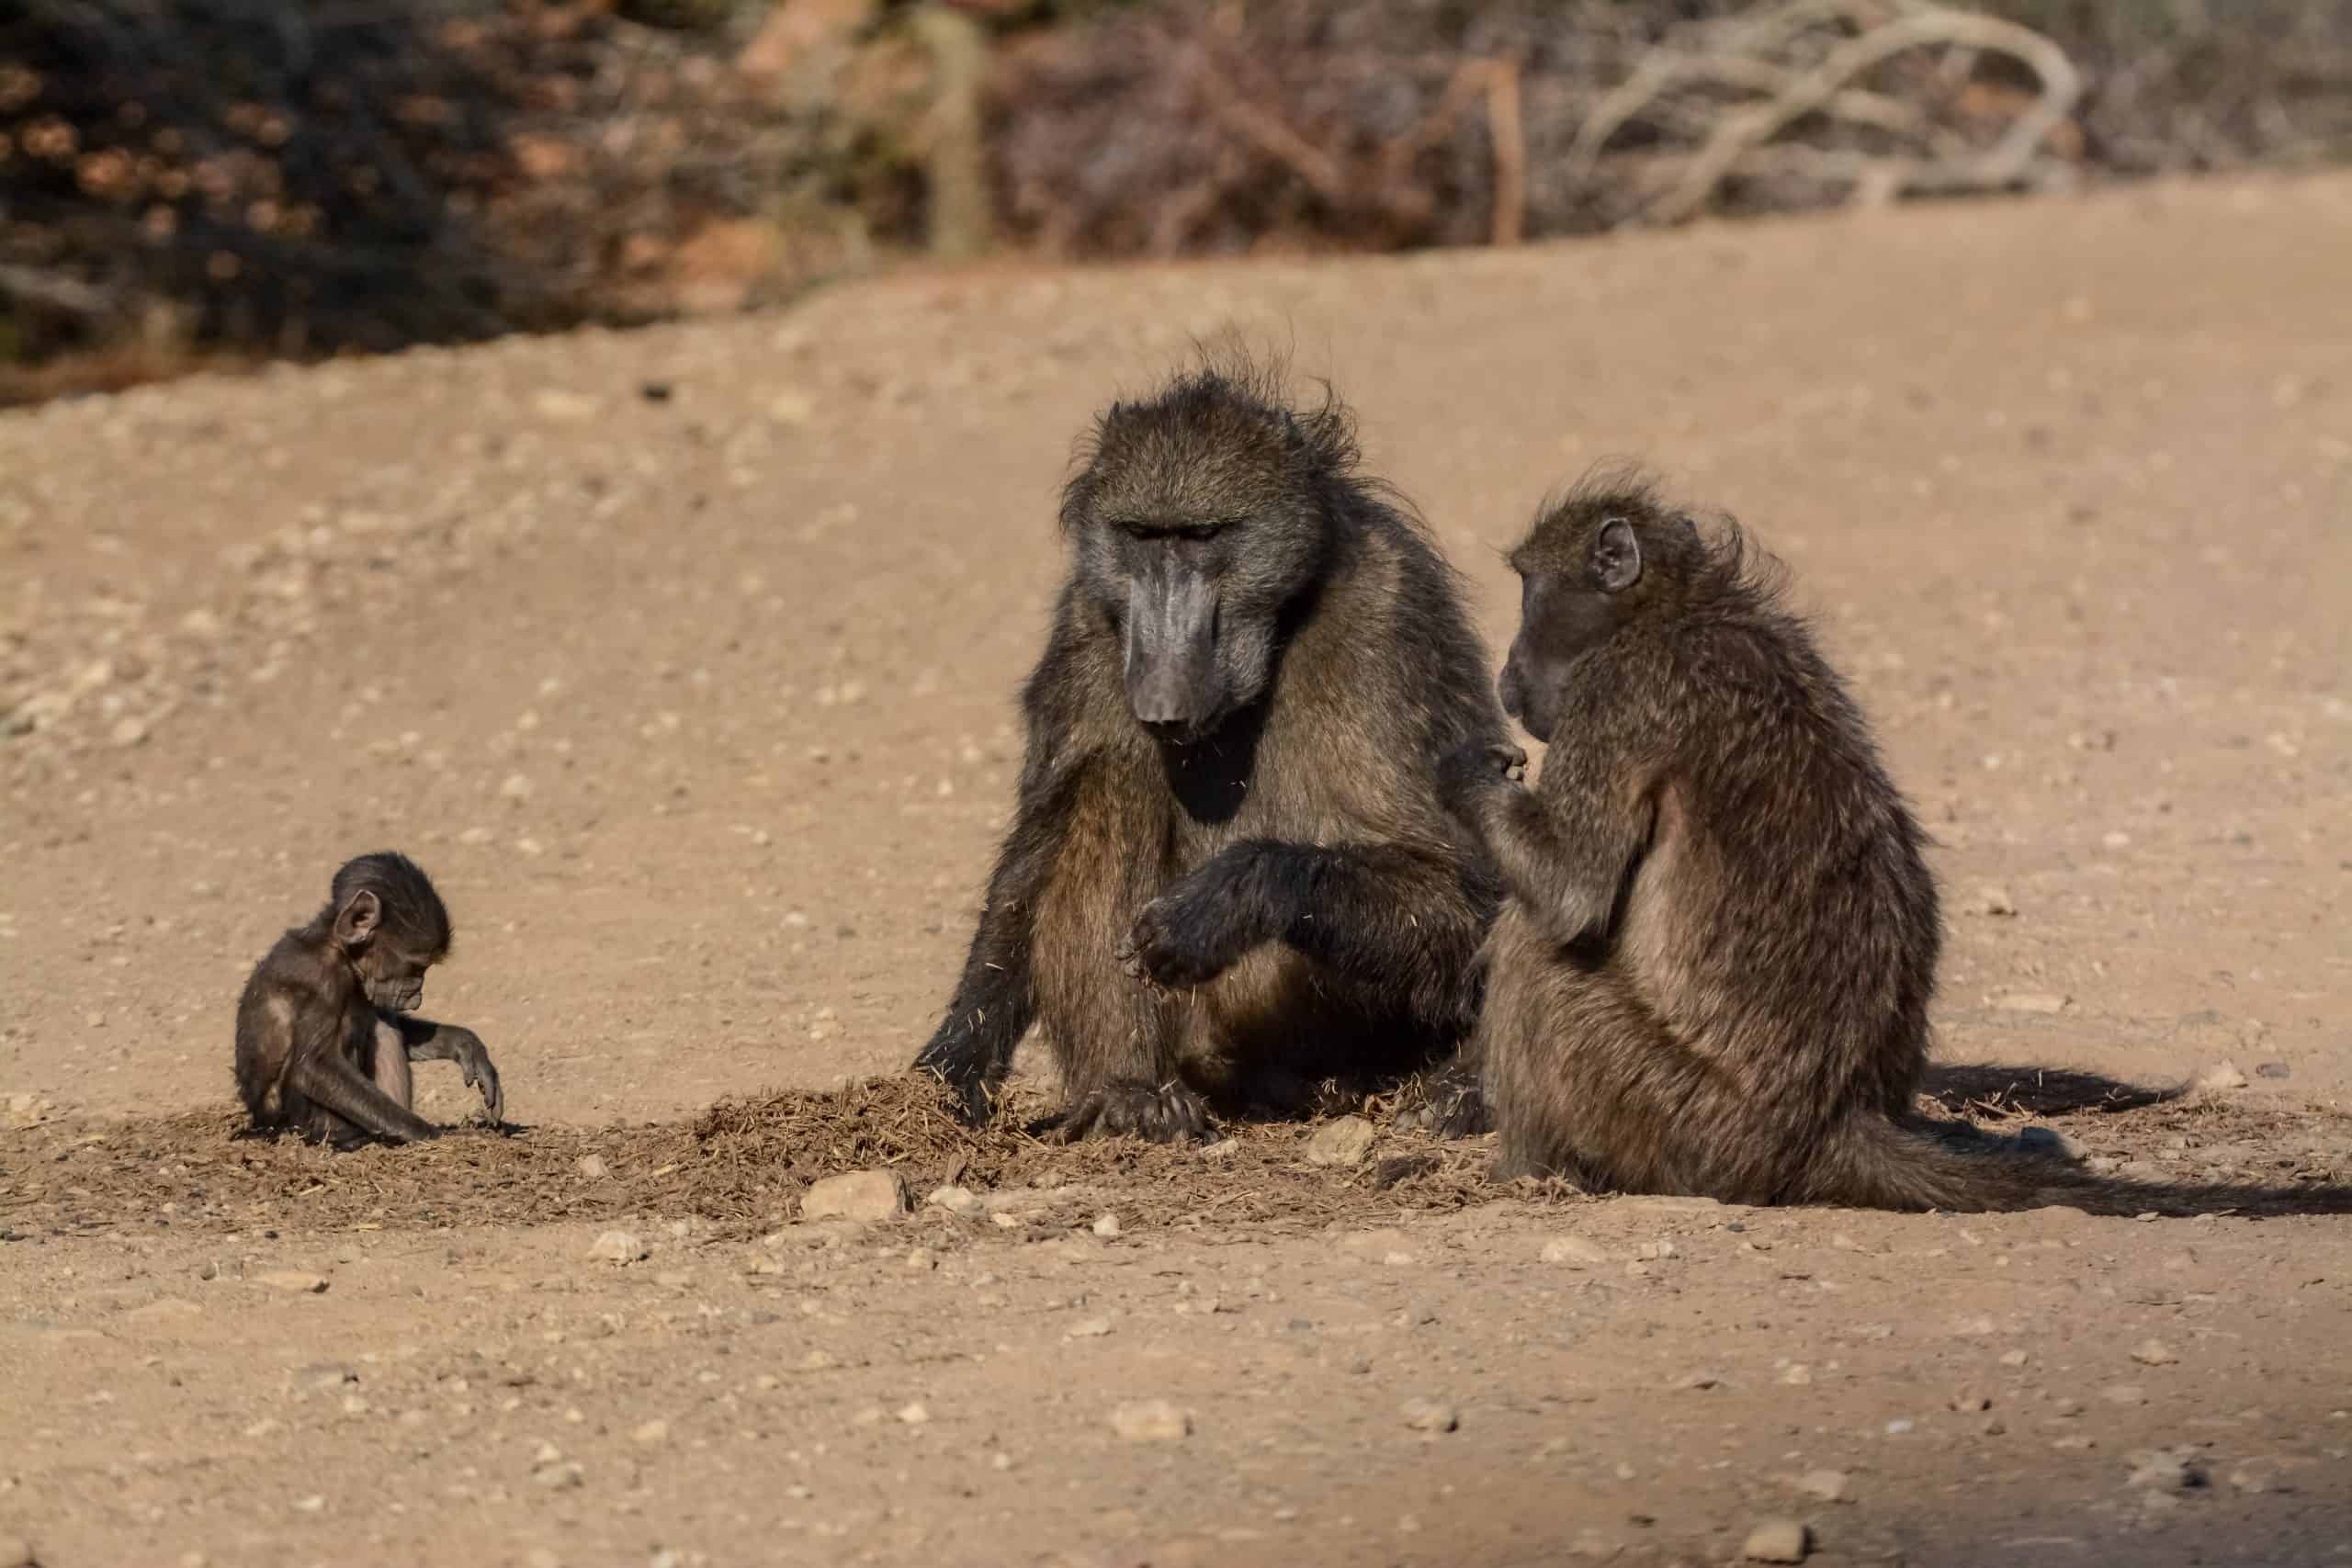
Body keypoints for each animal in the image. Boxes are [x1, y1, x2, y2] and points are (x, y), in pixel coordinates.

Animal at [233, 852, 502, 1144]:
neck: (337, 948)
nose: (416, 996)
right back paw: (346, 1137)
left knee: (383, 1028)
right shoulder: (320, 979)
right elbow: (314, 1066)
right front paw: (433, 1134)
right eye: (416, 966)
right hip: (299, 1124)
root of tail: (262, 1128)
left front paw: (465, 1045)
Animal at [914, 355, 1508, 1142]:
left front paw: (1230, 896)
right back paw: (1131, 1094)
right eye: (1142, 536)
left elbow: (1461, 887)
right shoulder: (1086, 620)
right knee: (1114, 779)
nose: (1164, 694)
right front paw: (954, 1063)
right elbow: (1032, 855)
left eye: (1203, 536)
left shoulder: (1392, 611)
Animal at [1439, 472, 2124, 1211]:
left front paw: (1462, 770)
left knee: (1533, 949)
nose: (1506, 673)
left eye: (1527, 588)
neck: (1672, 611)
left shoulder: (1617, 693)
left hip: (1690, 1123)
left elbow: (1571, 893)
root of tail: (1833, 1126)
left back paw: (1528, 1173)